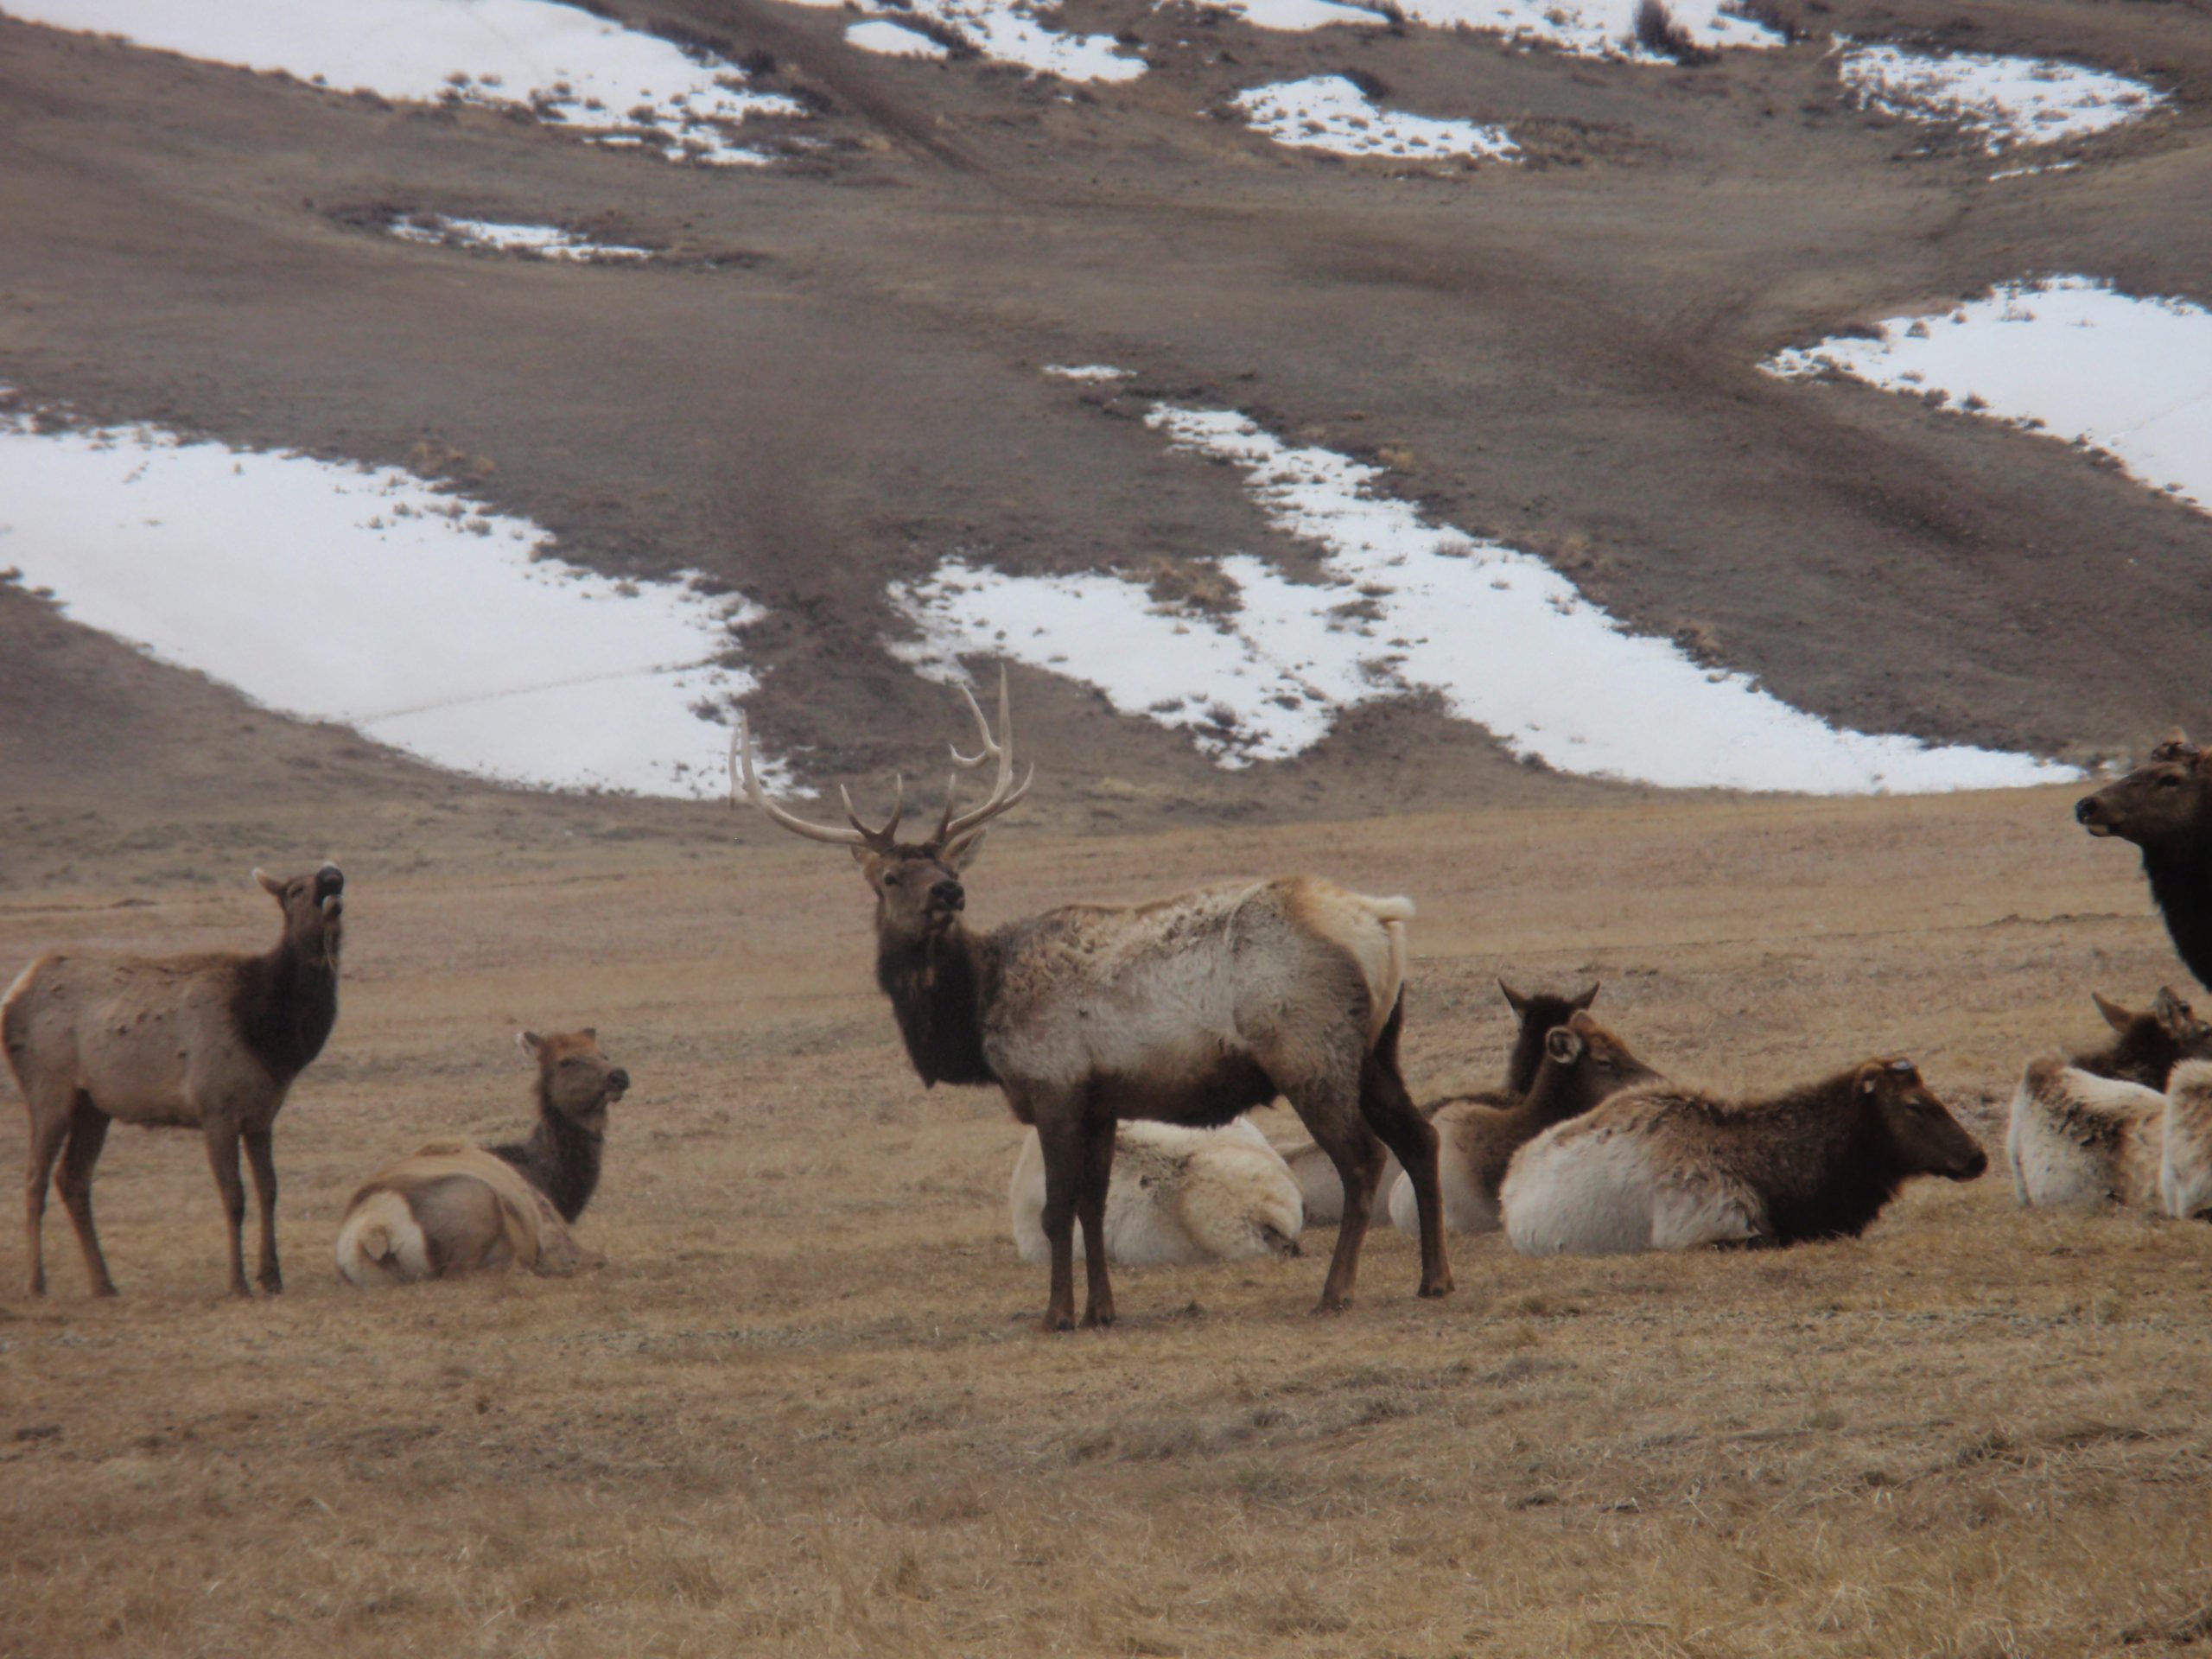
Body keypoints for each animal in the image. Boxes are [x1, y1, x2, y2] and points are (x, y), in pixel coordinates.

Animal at [4, 864, 344, 1298]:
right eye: (296, 889)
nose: (332, 874)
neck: (269, 1038)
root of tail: (14, 992)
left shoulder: (261, 1116)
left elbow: (269, 1190)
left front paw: (272, 1277)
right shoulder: (216, 1108)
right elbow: (234, 1196)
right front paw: (238, 1283)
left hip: (93, 1107)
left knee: (73, 1179)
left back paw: (104, 1282)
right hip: (49, 1089)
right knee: (35, 1179)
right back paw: (37, 1282)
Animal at [729, 669, 1452, 1330]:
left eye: (950, 866)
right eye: (891, 875)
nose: (950, 892)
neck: (976, 1015)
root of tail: (1382, 917)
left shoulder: (1055, 1084)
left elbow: (1058, 1212)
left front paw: (1056, 1315)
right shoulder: (1103, 1101)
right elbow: (1092, 1208)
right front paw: (1102, 1310)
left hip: (1309, 1050)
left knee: (1364, 1159)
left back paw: (1337, 1292)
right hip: (1379, 1047)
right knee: (1421, 1137)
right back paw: (1435, 1279)